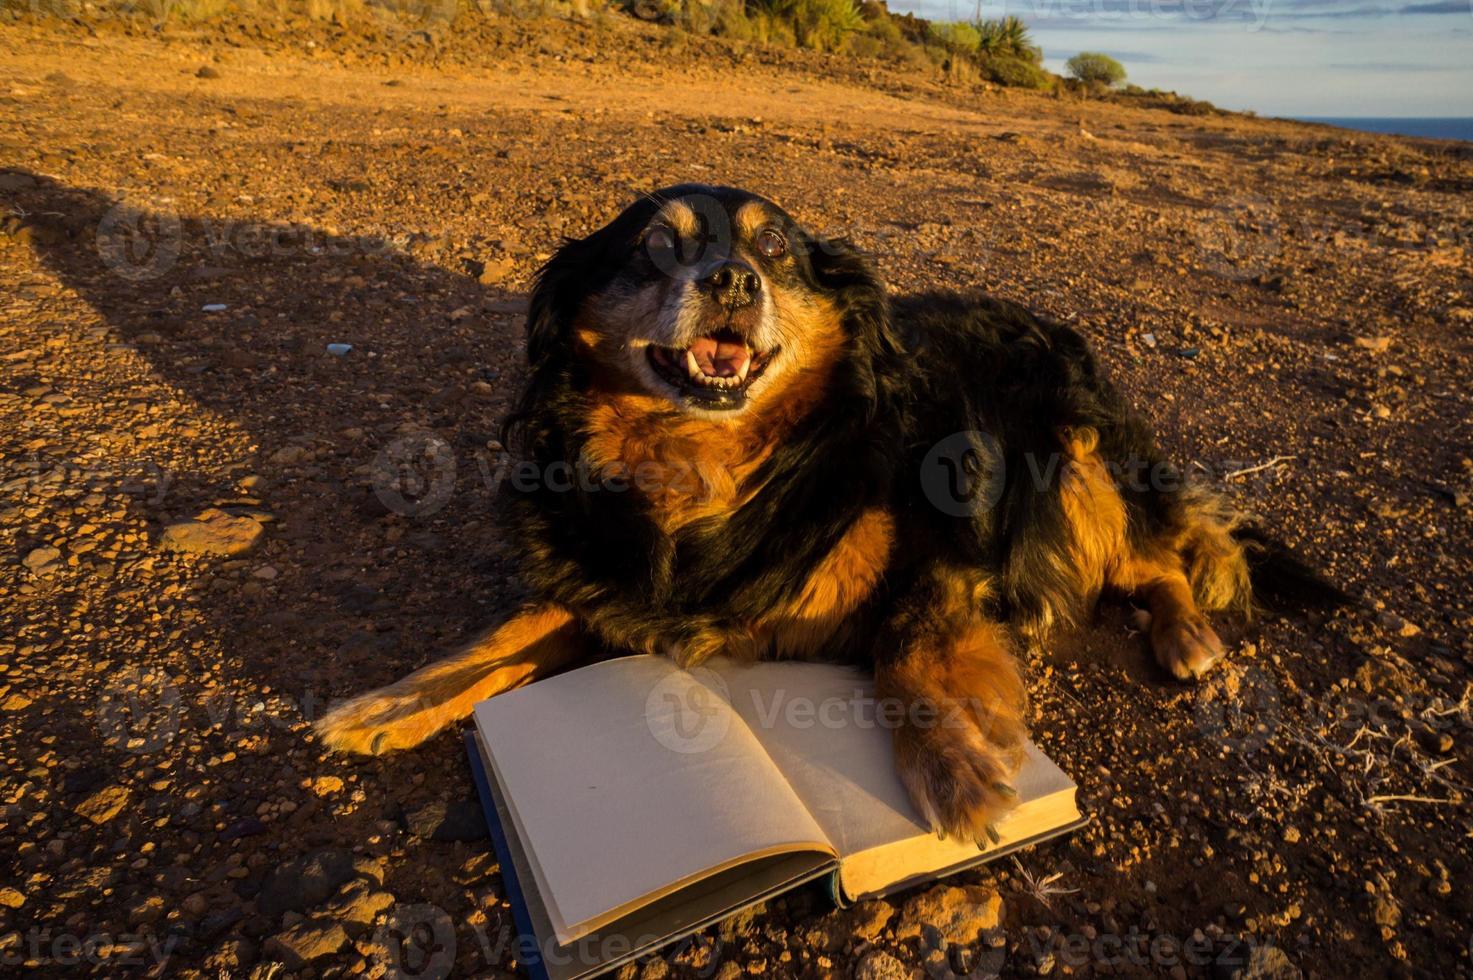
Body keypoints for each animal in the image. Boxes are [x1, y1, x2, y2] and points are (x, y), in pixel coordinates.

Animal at [316, 183, 1343, 842]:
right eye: (657, 247)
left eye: (774, 251)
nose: (732, 280)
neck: (710, 467)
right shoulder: (610, 582)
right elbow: (507, 632)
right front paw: (391, 701)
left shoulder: (942, 560)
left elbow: (905, 649)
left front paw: (955, 769)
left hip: (1070, 470)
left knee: (1160, 558)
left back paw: (1186, 635)